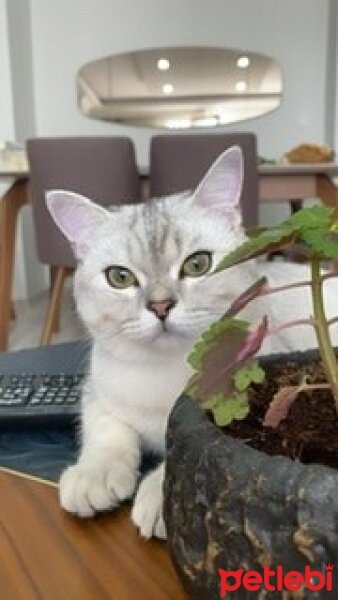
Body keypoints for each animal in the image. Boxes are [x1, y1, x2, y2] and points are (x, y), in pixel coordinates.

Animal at [45, 145, 338, 540]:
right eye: (120, 277)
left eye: (198, 265)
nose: (160, 306)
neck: (162, 370)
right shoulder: (97, 388)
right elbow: (105, 428)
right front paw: (93, 475)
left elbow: (177, 448)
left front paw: (157, 496)